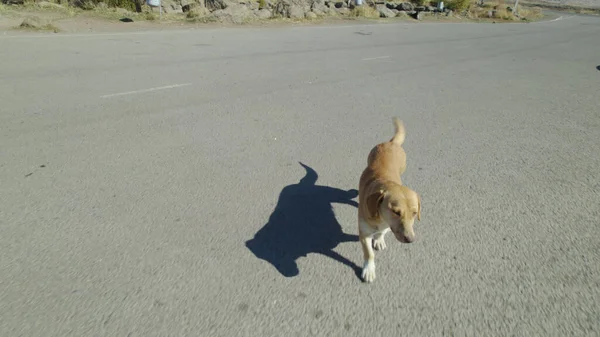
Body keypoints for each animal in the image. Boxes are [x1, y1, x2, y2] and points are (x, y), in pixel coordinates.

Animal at [356, 117, 422, 282]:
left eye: (414, 213)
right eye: (396, 212)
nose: (410, 239)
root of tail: (391, 142)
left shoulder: (387, 225)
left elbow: (382, 232)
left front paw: (379, 239)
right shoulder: (364, 233)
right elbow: (369, 254)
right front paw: (369, 270)